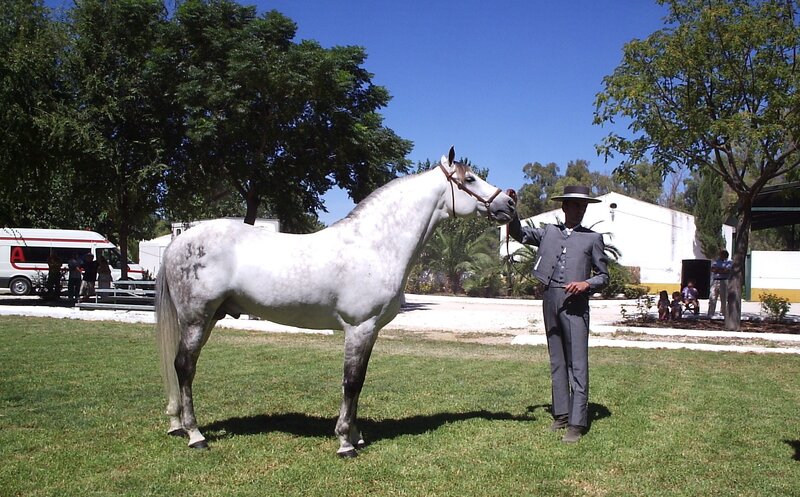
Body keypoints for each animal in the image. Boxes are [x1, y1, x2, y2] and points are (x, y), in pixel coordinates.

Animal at [155, 147, 516, 457]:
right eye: (470, 179)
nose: (509, 205)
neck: (375, 245)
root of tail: (178, 242)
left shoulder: (370, 331)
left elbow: (360, 381)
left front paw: (355, 435)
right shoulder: (359, 328)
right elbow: (351, 382)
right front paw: (345, 442)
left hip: (207, 318)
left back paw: (176, 424)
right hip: (196, 319)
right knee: (184, 367)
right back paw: (195, 435)